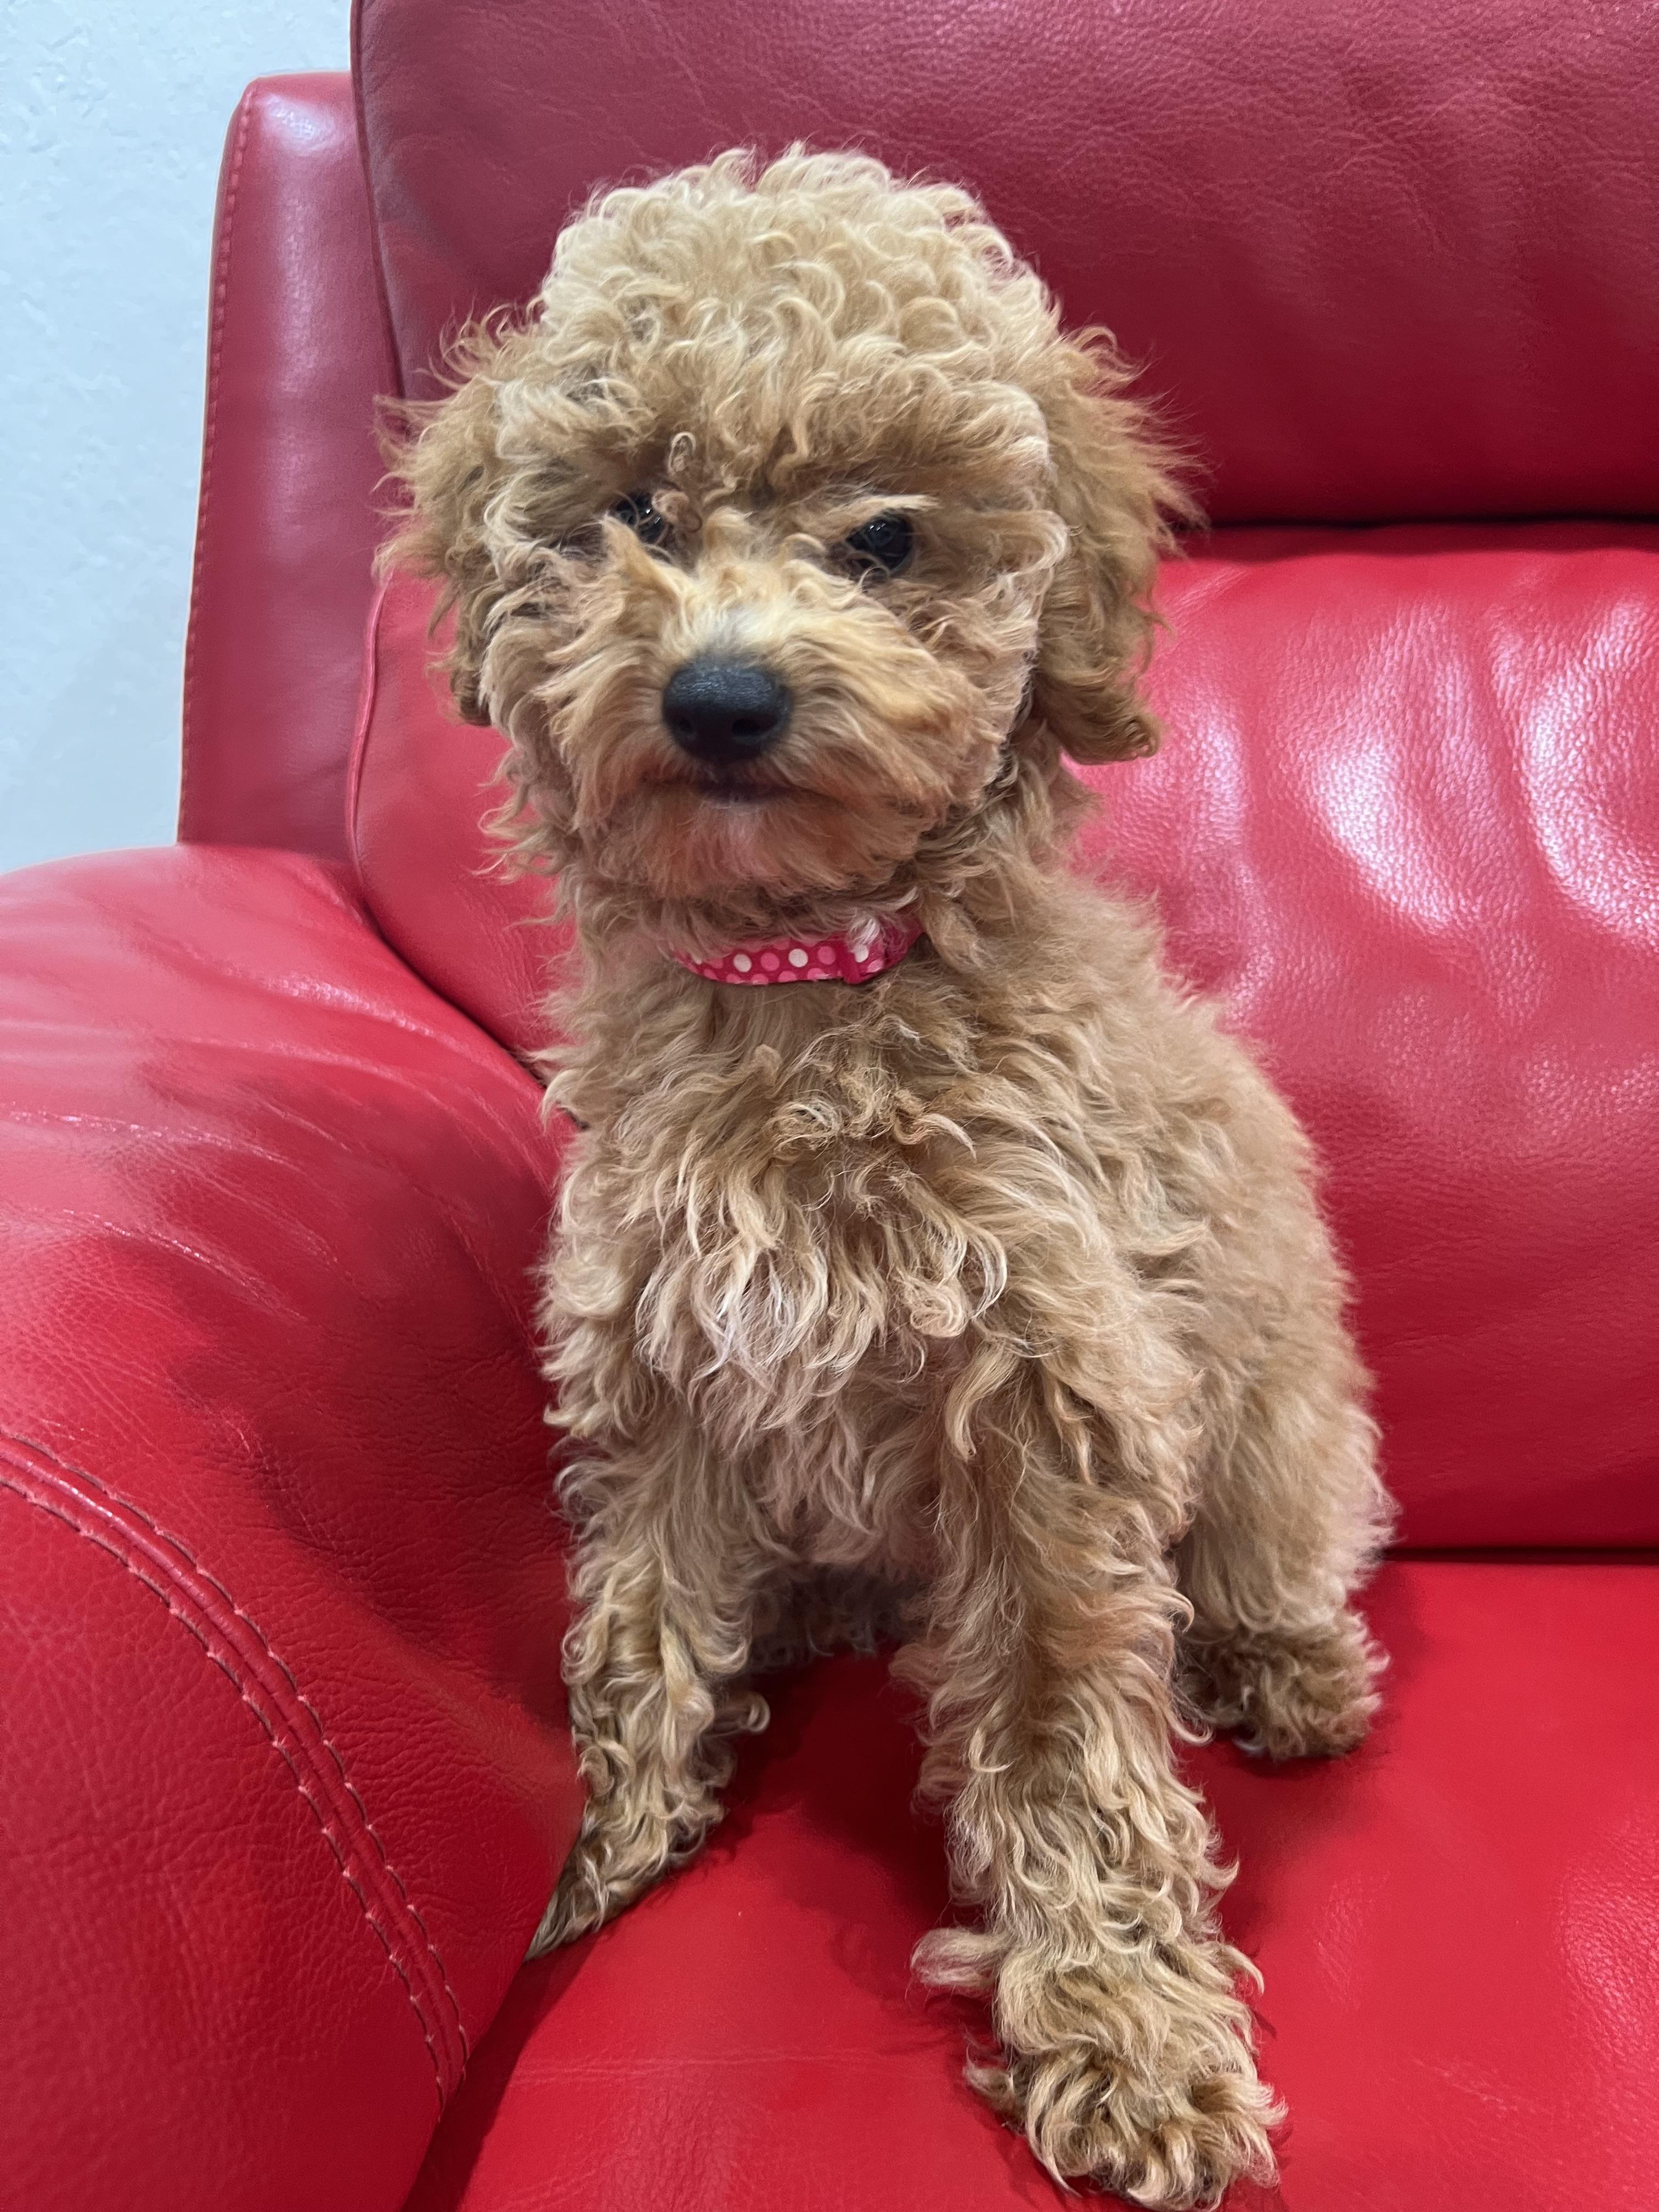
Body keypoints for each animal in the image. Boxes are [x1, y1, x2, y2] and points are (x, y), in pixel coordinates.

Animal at [387, 148, 1392, 2210]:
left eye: (884, 540)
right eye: (635, 514)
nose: (720, 697)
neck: (808, 979)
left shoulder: (1047, 1406)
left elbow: (1066, 1742)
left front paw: (1121, 2029)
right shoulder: (668, 1371)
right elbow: (637, 1629)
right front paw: (601, 1850)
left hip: (1275, 1429)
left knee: (1275, 1556)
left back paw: (1285, 1676)